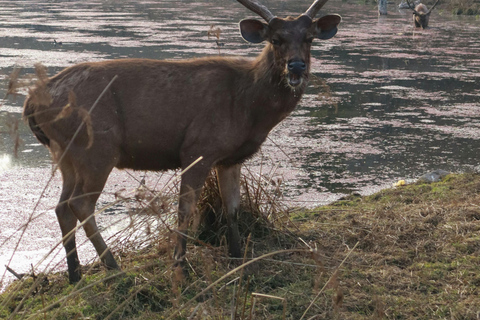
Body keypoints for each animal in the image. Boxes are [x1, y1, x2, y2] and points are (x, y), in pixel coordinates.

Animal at [23, 0, 342, 282]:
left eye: (310, 38)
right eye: (276, 39)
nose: (297, 67)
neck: (248, 108)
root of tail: (32, 102)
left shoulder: (230, 158)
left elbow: (232, 210)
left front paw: (238, 261)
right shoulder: (198, 148)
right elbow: (186, 211)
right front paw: (180, 266)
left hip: (64, 152)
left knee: (62, 206)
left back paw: (75, 274)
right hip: (97, 147)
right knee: (80, 204)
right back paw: (115, 269)